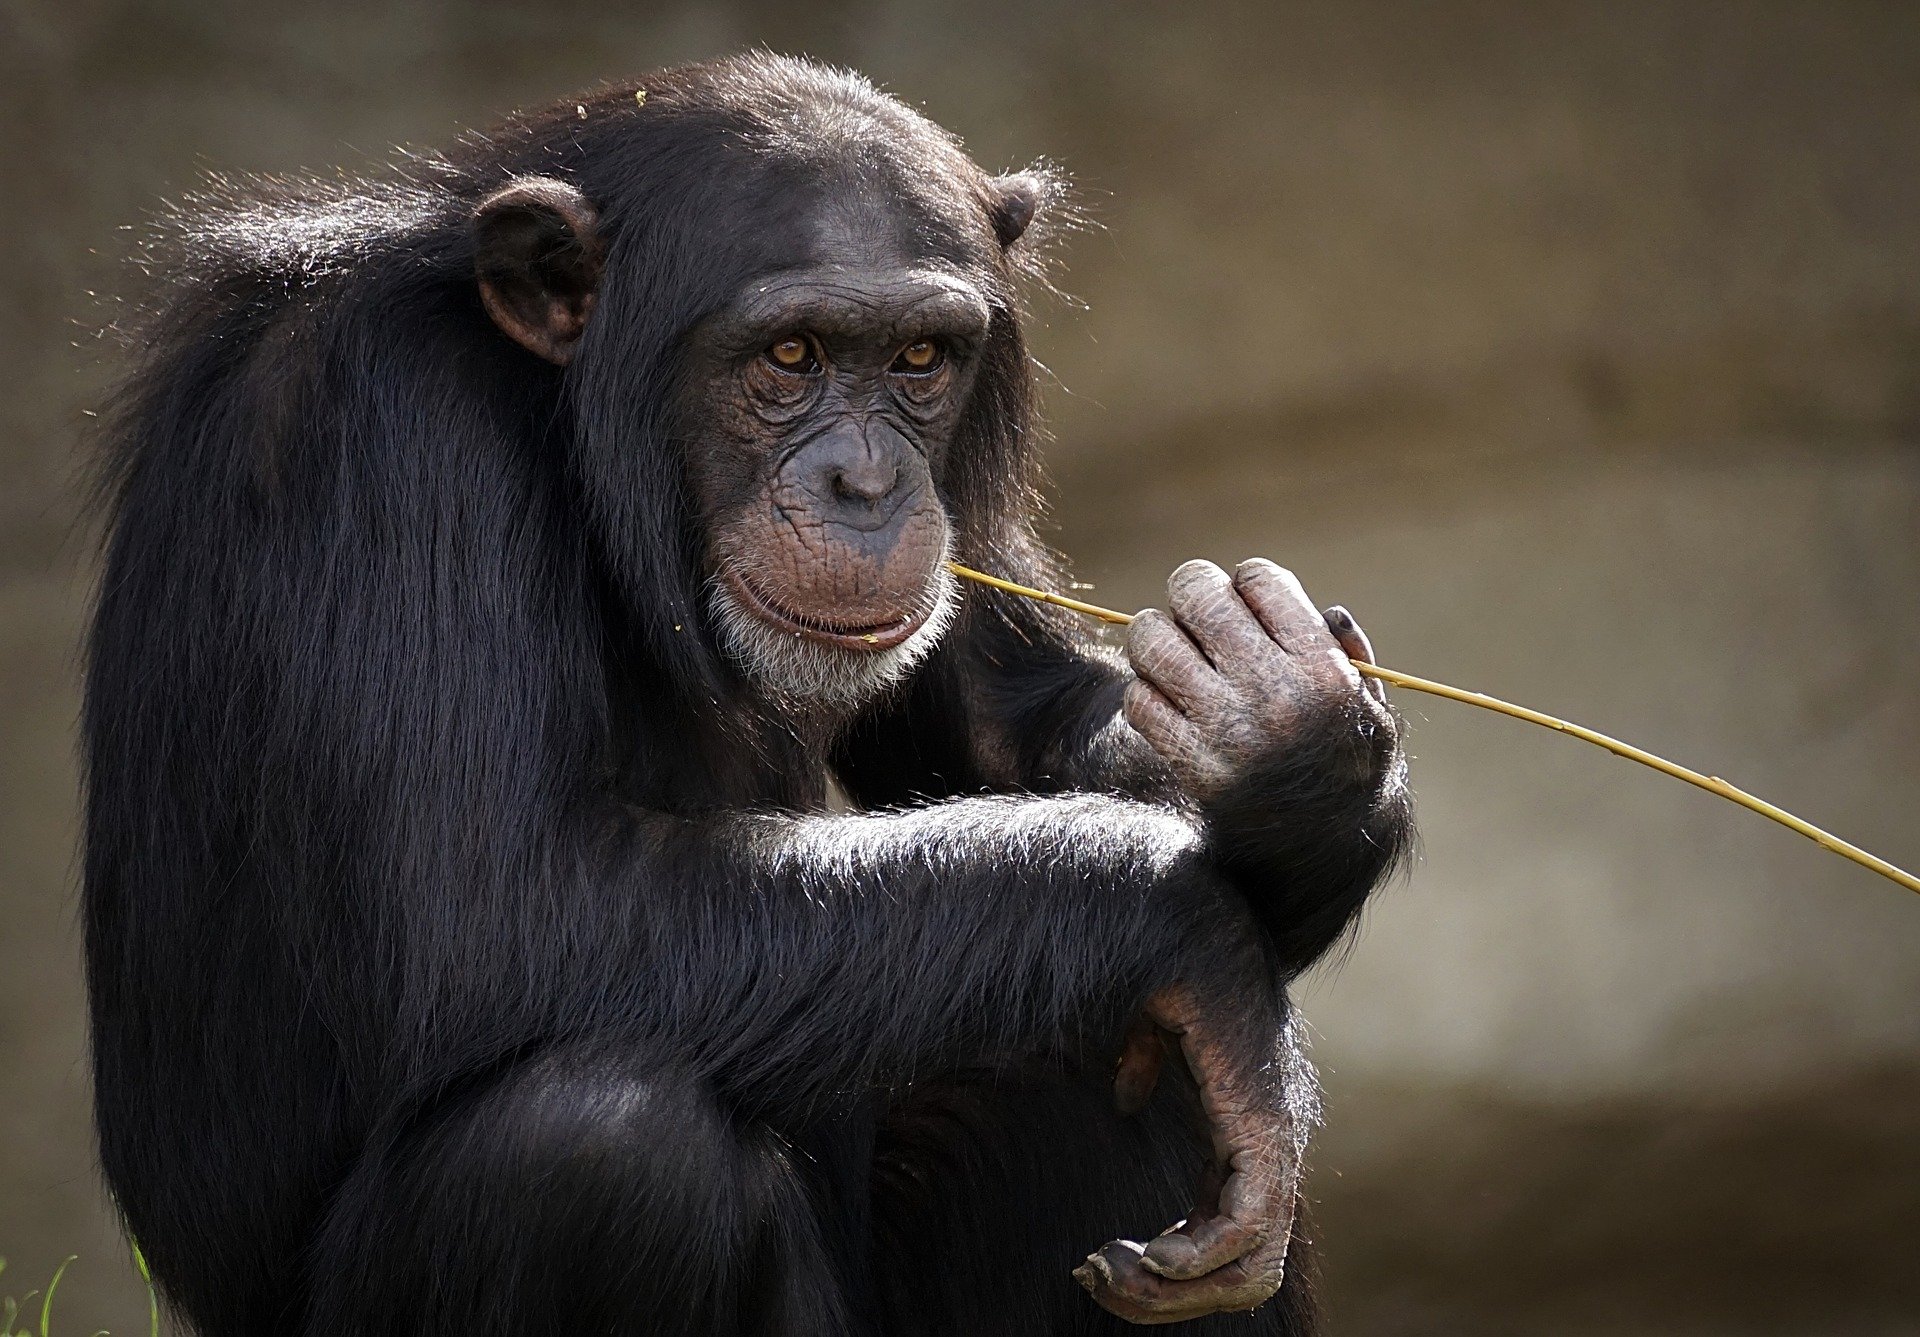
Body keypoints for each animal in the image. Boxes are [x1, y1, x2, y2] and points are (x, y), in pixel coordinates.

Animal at [86, 52, 1413, 1337]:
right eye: (790, 356)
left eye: (920, 359)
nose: (868, 482)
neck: (557, 418)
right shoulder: (382, 428)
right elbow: (487, 905)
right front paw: (1190, 930)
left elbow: (1004, 728)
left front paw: (1293, 741)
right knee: (595, 1143)